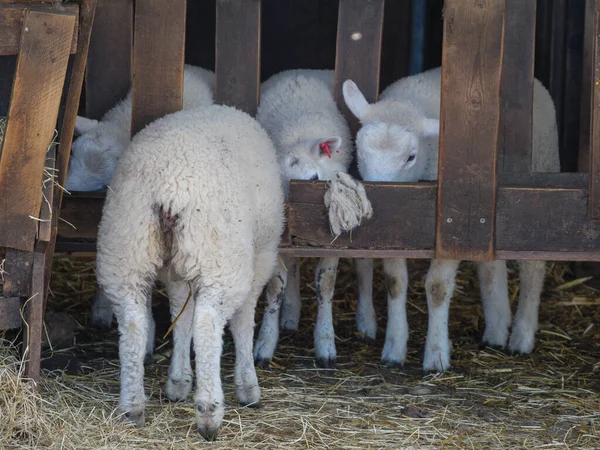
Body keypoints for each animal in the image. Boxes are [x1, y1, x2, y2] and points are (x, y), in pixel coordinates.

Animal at [95, 104, 286, 440]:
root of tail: (170, 188)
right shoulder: (261, 254)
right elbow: (243, 322)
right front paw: (248, 385)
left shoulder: (175, 271)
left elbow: (180, 318)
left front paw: (178, 381)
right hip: (220, 253)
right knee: (208, 325)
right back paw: (209, 412)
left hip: (126, 245)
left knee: (133, 323)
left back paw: (132, 406)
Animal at [252, 68, 372, 368]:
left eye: (315, 178)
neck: (292, 138)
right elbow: (276, 287)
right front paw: (265, 343)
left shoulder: (332, 241)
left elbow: (325, 285)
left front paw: (325, 343)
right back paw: (290, 314)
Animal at [344, 65, 560, 370]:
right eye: (361, 152)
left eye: (411, 157)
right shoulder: (397, 229)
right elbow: (395, 283)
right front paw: (394, 350)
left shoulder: (450, 230)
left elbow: (436, 288)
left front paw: (436, 355)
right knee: (490, 266)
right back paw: (496, 329)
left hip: (537, 185)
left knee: (534, 267)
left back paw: (521, 336)